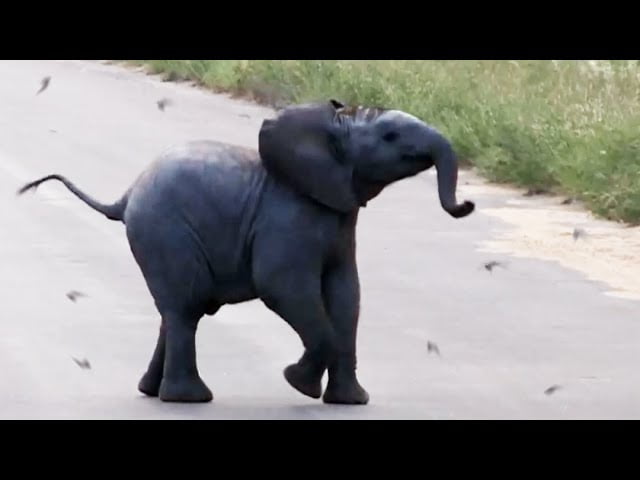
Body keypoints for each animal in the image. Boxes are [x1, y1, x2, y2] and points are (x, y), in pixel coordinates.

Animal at [17, 99, 474, 405]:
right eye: (390, 136)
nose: (466, 205)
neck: (332, 128)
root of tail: (126, 195)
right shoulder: (288, 217)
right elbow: (282, 287)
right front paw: (297, 383)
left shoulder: (340, 219)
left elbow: (347, 295)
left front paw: (350, 402)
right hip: (164, 232)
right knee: (184, 309)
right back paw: (189, 399)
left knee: (176, 312)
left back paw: (152, 391)